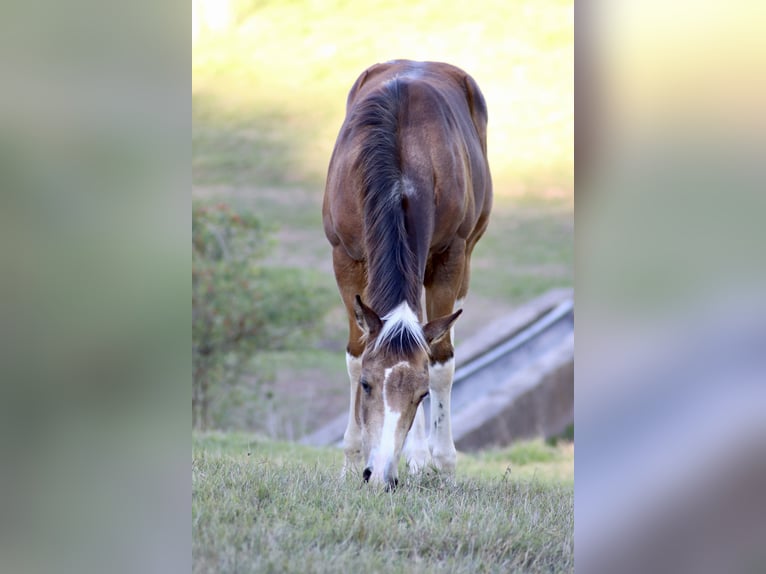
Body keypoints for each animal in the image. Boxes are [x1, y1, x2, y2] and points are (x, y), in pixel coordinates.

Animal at [322, 60, 492, 489]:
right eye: (368, 386)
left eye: (420, 397)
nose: (380, 476)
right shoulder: (344, 257)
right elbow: (355, 354)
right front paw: (352, 459)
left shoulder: (451, 257)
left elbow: (440, 363)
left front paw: (442, 463)